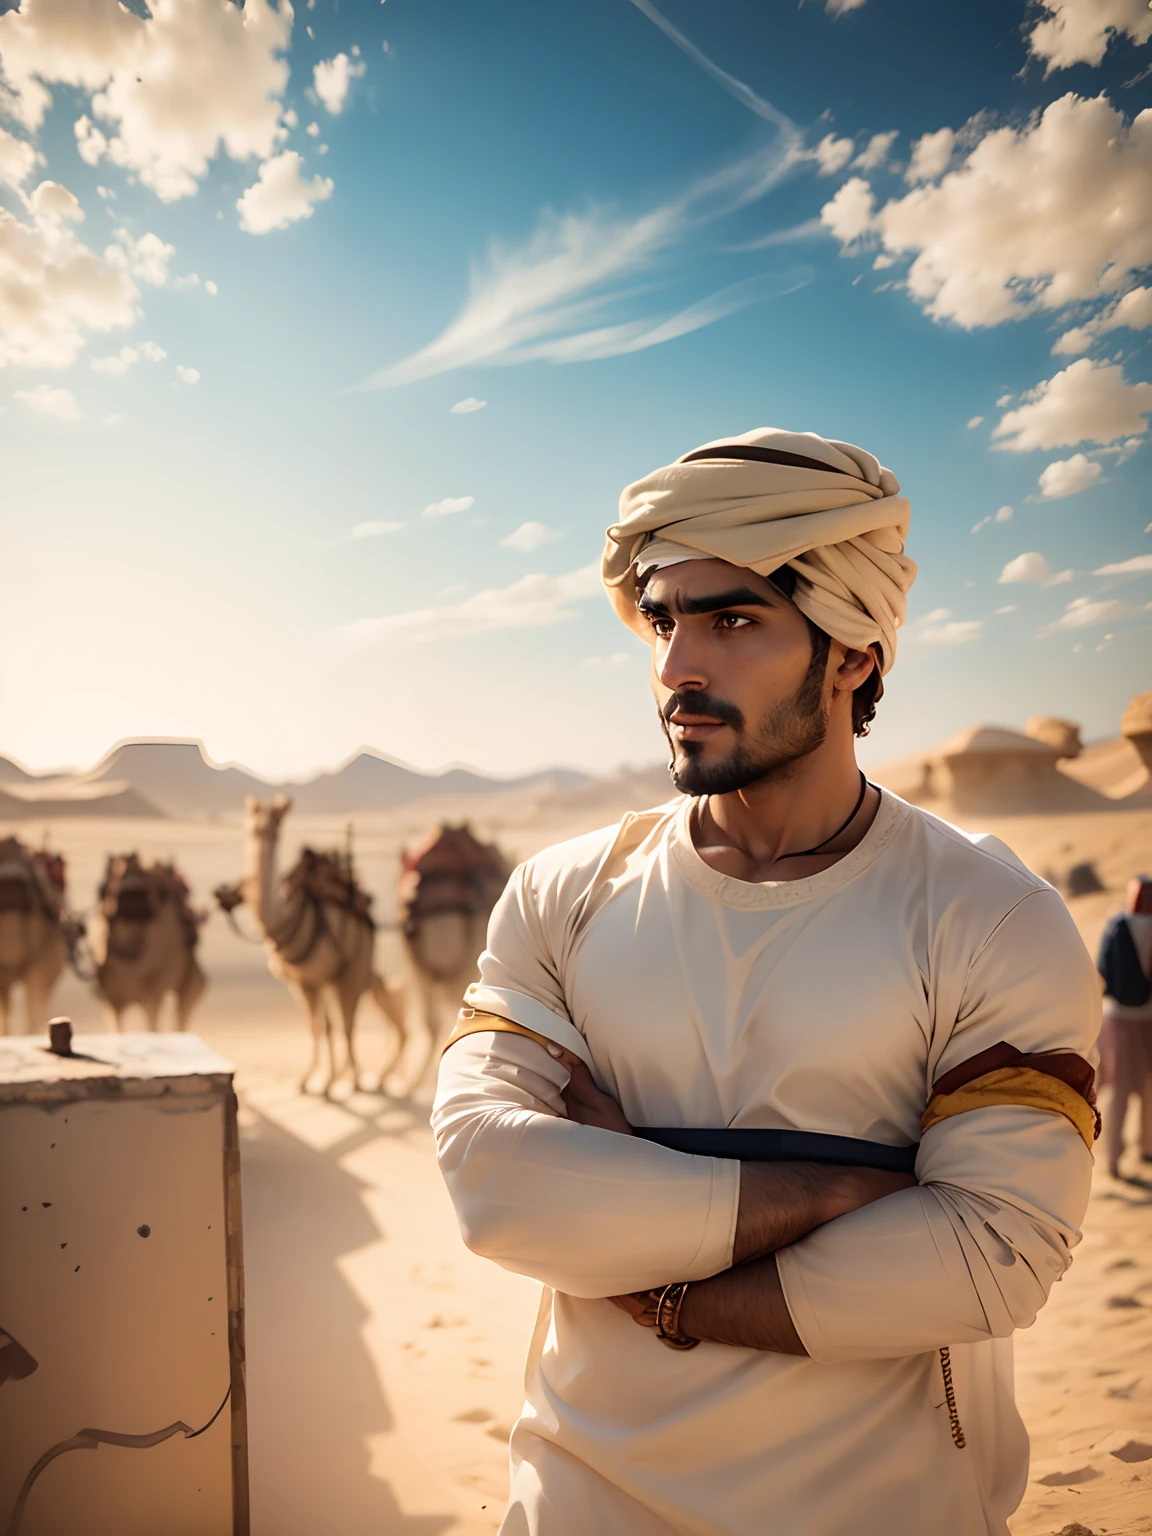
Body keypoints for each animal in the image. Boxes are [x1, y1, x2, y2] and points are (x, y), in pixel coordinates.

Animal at [94, 854, 207, 1032]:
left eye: (143, 891)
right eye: (103, 889)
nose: (129, 906)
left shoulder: (154, 991)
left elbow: (152, 1024)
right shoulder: (109, 999)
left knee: (183, 1008)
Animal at [222, 798, 411, 1099]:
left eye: (277, 818)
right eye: (252, 815)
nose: (261, 829)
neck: (282, 920)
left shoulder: (319, 977)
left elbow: (327, 1026)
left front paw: (328, 1082)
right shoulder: (300, 982)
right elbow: (316, 1026)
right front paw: (313, 1080)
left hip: (353, 969)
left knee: (354, 1023)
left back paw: (361, 1078)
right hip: (345, 978)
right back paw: (358, 1075)